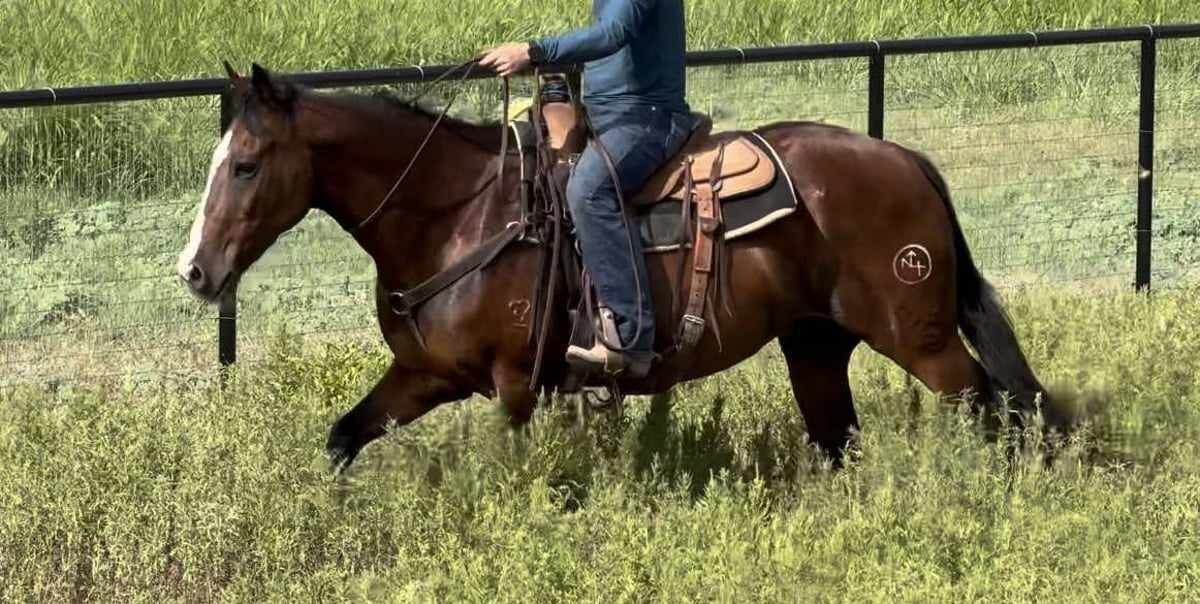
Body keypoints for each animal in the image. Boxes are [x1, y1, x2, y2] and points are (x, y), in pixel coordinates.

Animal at [175, 62, 1072, 473]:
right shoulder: (424, 375)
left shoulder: (515, 384)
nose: (195, 271)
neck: (459, 215)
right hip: (816, 347)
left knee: (1001, 406)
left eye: (246, 165)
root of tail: (906, 160)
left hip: (922, 340)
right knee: (841, 440)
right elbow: (343, 436)